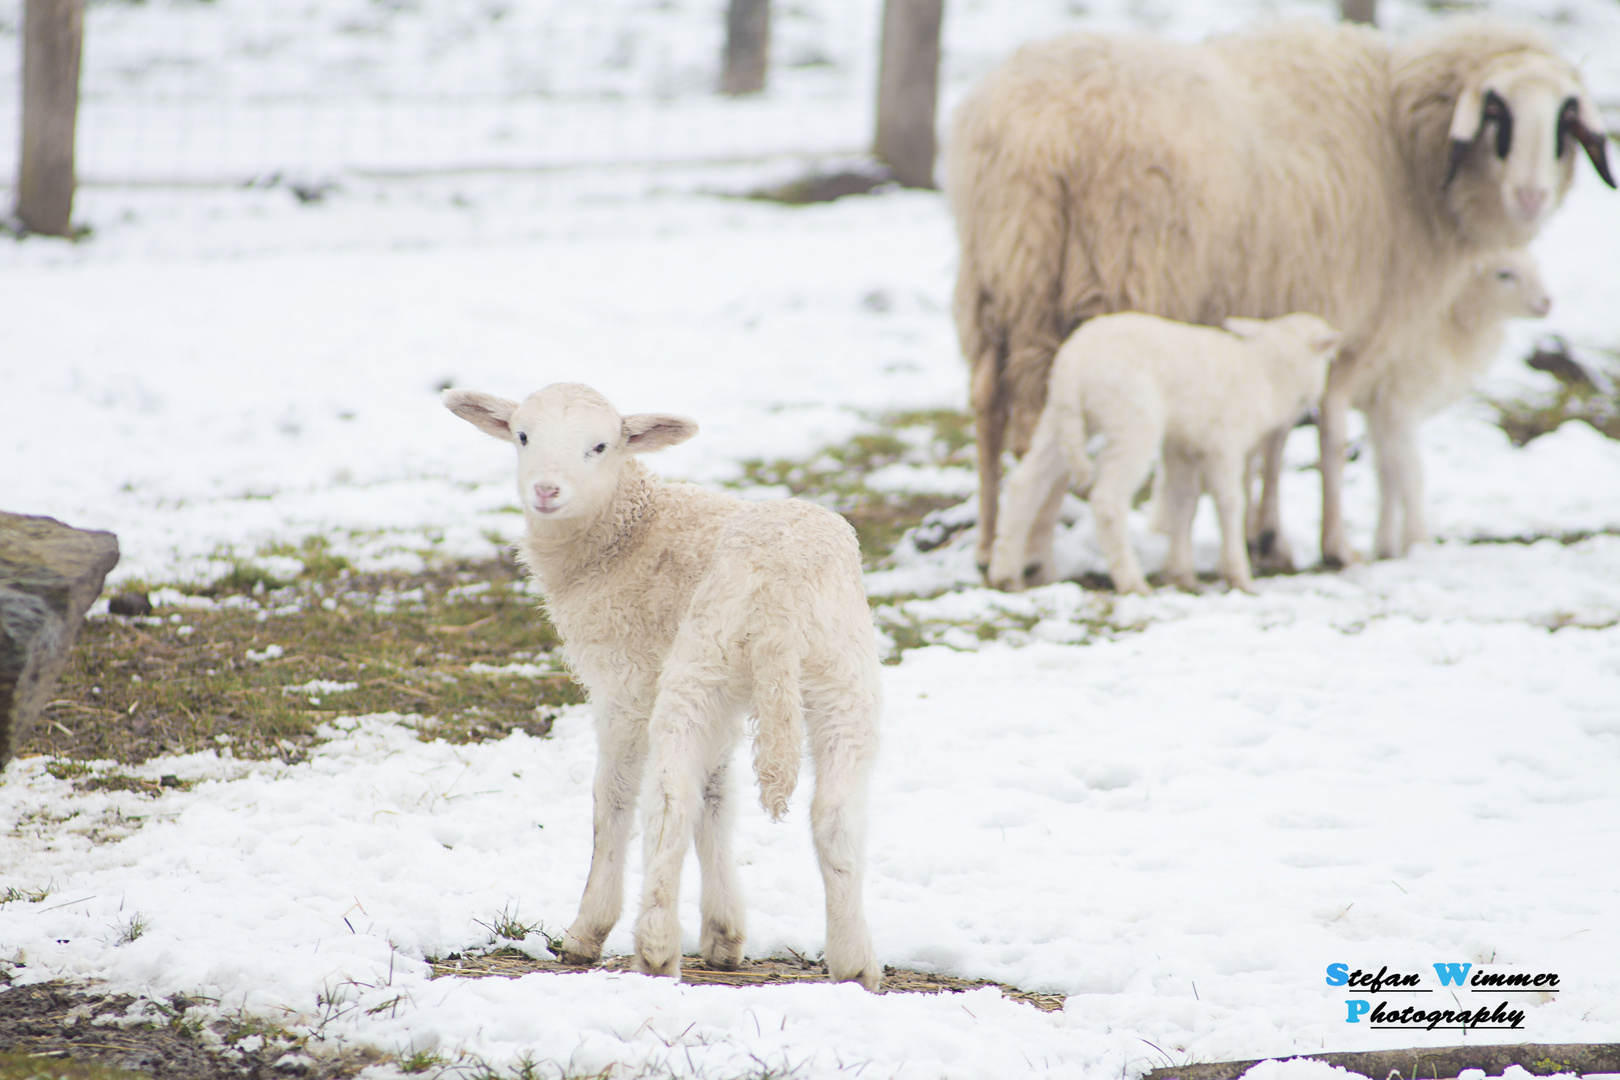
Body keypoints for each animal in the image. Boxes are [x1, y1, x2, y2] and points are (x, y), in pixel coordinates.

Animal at [440, 383, 887, 990]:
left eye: (601, 446)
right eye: (522, 436)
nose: (546, 490)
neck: (626, 532)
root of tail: (781, 597)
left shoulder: (626, 678)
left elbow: (615, 797)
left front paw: (587, 933)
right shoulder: (724, 702)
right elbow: (716, 795)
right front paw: (724, 935)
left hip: (699, 664)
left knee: (669, 797)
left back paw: (653, 946)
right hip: (839, 674)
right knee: (836, 812)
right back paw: (854, 962)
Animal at [984, 312, 1341, 599]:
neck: (1267, 373)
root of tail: (1073, 365)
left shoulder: (1183, 445)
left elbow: (1183, 501)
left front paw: (1181, 573)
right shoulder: (1224, 443)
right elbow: (1229, 504)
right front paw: (1239, 576)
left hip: (1060, 417)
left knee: (1025, 483)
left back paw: (1005, 573)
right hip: (1131, 419)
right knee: (1108, 499)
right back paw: (1131, 581)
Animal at [1347, 249, 1548, 563]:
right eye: (1505, 274)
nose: (1546, 302)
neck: (1450, 321)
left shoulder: (1377, 408)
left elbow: (1387, 476)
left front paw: (1385, 547)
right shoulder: (1400, 402)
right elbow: (1412, 474)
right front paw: (1419, 543)